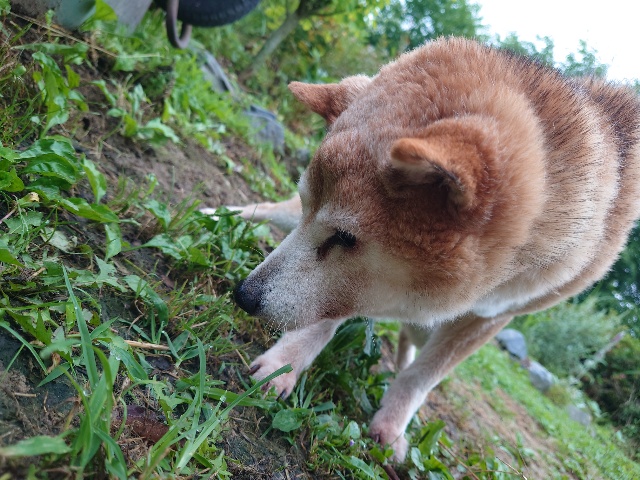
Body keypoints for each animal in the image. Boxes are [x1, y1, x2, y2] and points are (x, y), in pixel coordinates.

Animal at [207, 38, 640, 461]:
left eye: (345, 237)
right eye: (309, 205)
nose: (243, 295)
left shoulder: (496, 314)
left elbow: (423, 376)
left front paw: (391, 427)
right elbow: (326, 312)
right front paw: (286, 363)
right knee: (266, 210)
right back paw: (213, 213)